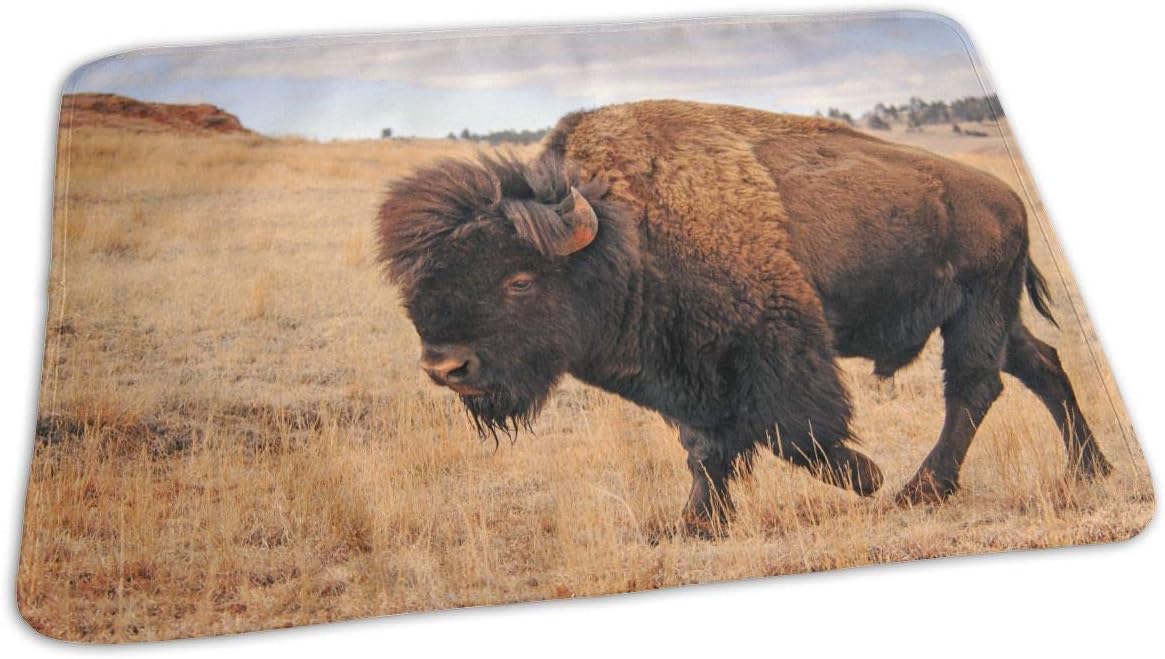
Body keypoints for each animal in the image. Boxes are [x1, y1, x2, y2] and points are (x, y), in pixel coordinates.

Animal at [376, 100, 1111, 534]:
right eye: (418, 283)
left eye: (519, 279)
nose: (446, 366)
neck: (624, 231)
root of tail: (1006, 195)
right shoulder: (684, 376)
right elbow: (703, 448)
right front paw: (697, 523)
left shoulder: (772, 349)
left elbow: (791, 430)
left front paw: (865, 477)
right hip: (993, 315)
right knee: (1040, 367)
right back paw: (1088, 469)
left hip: (977, 310)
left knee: (974, 388)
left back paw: (919, 490)